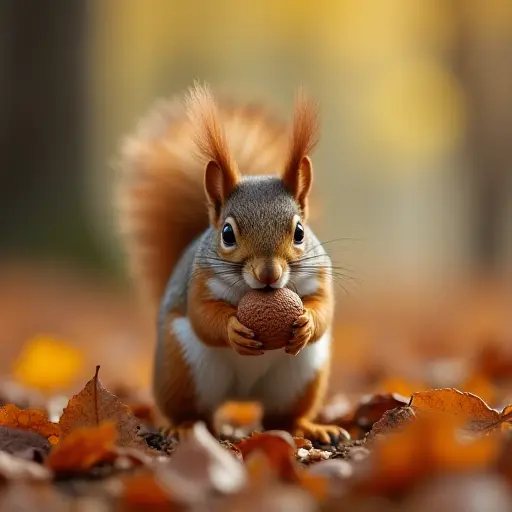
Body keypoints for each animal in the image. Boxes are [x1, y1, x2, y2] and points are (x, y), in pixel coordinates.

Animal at [114, 84, 342, 444]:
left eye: (300, 232)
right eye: (227, 234)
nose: (269, 274)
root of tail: (242, 397)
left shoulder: (320, 274)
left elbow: (324, 307)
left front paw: (306, 322)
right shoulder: (198, 281)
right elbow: (203, 315)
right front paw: (233, 329)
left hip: (301, 377)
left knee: (281, 417)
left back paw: (310, 427)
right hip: (183, 371)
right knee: (196, 412)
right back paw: (184, 427)